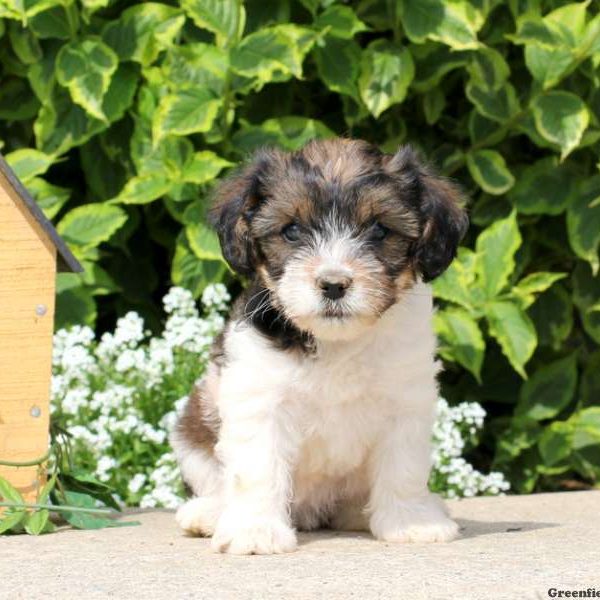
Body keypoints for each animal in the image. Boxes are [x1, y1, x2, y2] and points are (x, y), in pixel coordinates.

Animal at [169, 138, 468, 556]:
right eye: (292, 230)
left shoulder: (406, 400)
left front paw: (411, 522)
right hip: (191, 430)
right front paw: (255, 530)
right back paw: (208, 514)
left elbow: (404, 467)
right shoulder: (259, 396)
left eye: (380, 230)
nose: (333, 284)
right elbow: (257, 467)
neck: (336, 341)